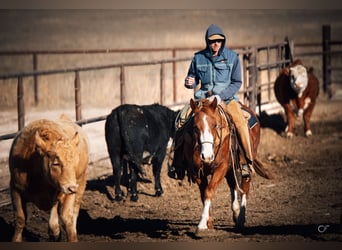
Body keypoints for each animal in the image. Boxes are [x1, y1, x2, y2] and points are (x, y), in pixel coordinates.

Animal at [168, 96, 272, 231]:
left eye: (215, 125)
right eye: (195, 127)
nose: (206, 156)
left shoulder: (221, 168)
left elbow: (209, 191)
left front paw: (202, 224)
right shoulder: (196, 171)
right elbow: (204, 194)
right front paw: (209, 221)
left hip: (245, 163)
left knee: (245, 186)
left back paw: (241, 218)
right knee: (232, 184)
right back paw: (236, 211)